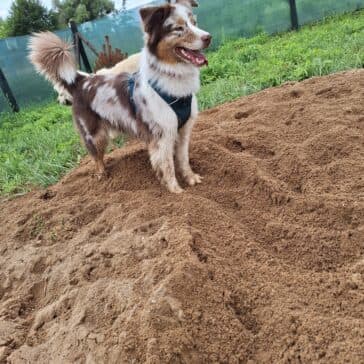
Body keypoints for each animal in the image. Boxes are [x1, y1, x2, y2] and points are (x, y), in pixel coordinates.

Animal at [29, 0, 210, 193]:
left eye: (194, 23)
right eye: (178, 28)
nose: (208, 37)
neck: (172, 78)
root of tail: (82, 80)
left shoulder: (184, 131)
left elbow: (183, 159)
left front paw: (191, 178)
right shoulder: (161, 137)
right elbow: (167, 166)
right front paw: (177, 192)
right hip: (95, 134)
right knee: (96, 158)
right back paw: (102, 176)